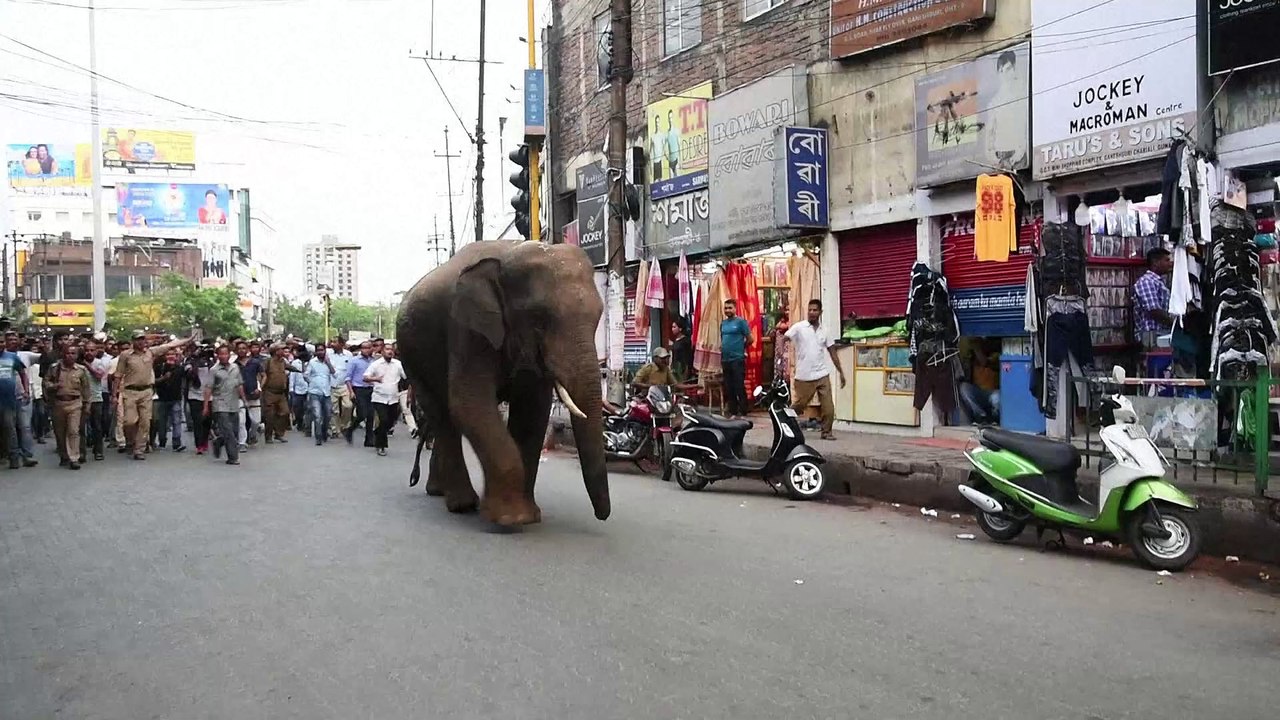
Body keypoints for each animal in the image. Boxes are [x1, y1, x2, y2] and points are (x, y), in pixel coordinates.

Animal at [395, 240, 609, 527]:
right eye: (539, 318)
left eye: (599, 316)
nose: (602, 516)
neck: (509, 254)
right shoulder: (467, 329)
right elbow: (470, 403)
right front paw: (511, 519)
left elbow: (532, 411)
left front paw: (529, 517)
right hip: (411, 356)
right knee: (441, 413)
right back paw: (461, 504)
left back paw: (439, 492)